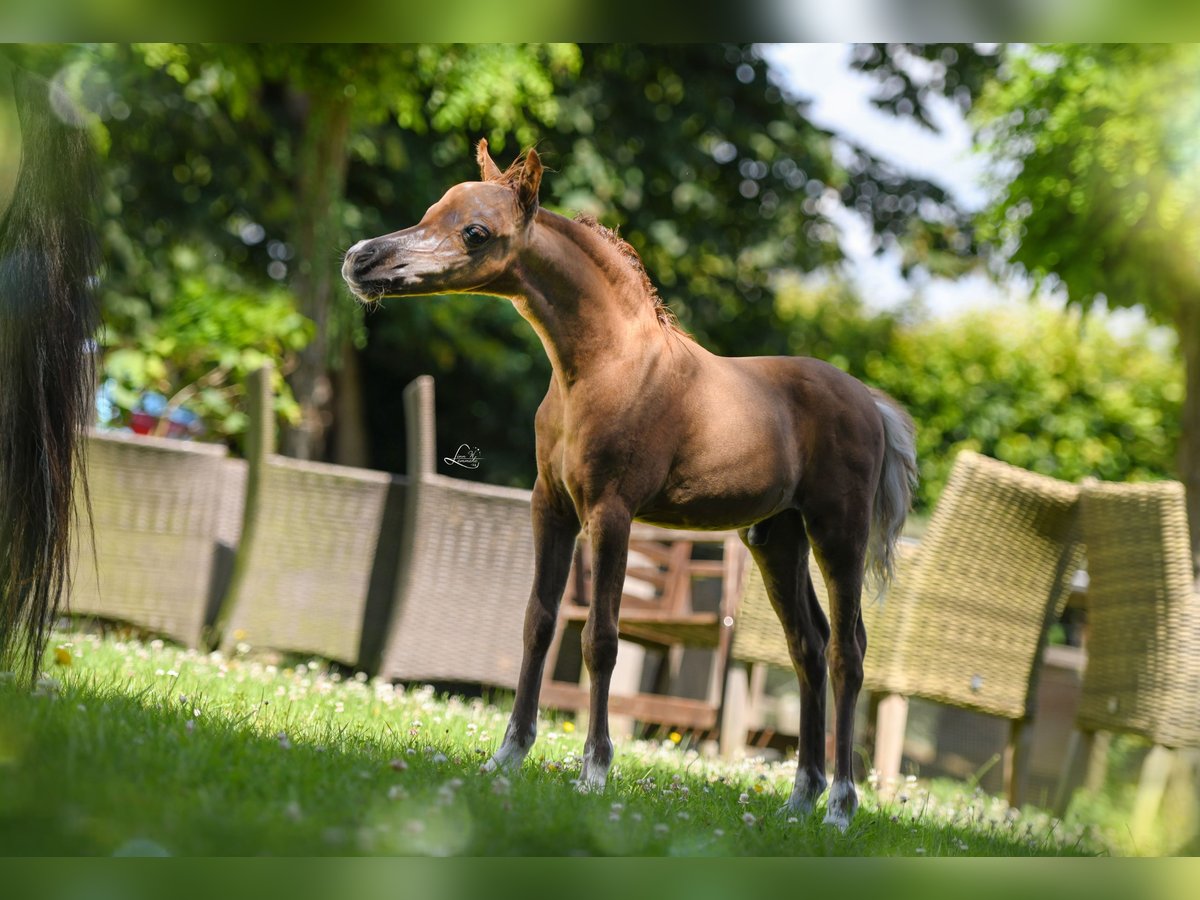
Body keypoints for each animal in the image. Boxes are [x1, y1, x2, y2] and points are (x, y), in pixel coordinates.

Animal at [343, 142, 912, 830]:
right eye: (432, 211)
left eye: (474, 231)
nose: (360, 259)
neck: (604, 368)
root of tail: (871, 402)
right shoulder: (551, 507)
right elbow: (538, 622)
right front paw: (506, 758)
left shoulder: (611, 513)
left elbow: (601, 638)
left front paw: (594, 771)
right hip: (776, 539)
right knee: (808, 645)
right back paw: (799, 799)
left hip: (837, 533)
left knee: (847, 652)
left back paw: (840, 807)